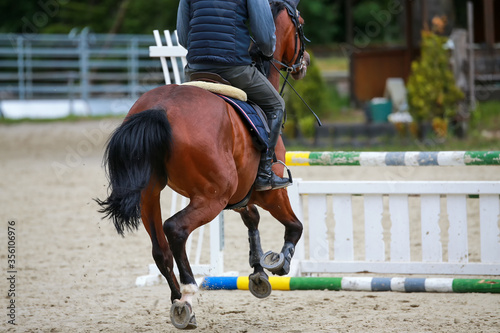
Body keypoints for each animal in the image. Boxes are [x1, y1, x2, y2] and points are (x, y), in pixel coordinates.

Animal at [97, 0, 306, 326]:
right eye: (301, 25)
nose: (304, 62)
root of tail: (161, 108)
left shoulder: (241, 193)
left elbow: (252, 219)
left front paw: (258, 272)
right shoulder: (270, 191)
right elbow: (295, 226)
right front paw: (278, 263)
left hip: (150, 195)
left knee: (160, 249)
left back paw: (179, 302)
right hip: (212, 198)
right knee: (175, 229)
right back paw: (188, 294)